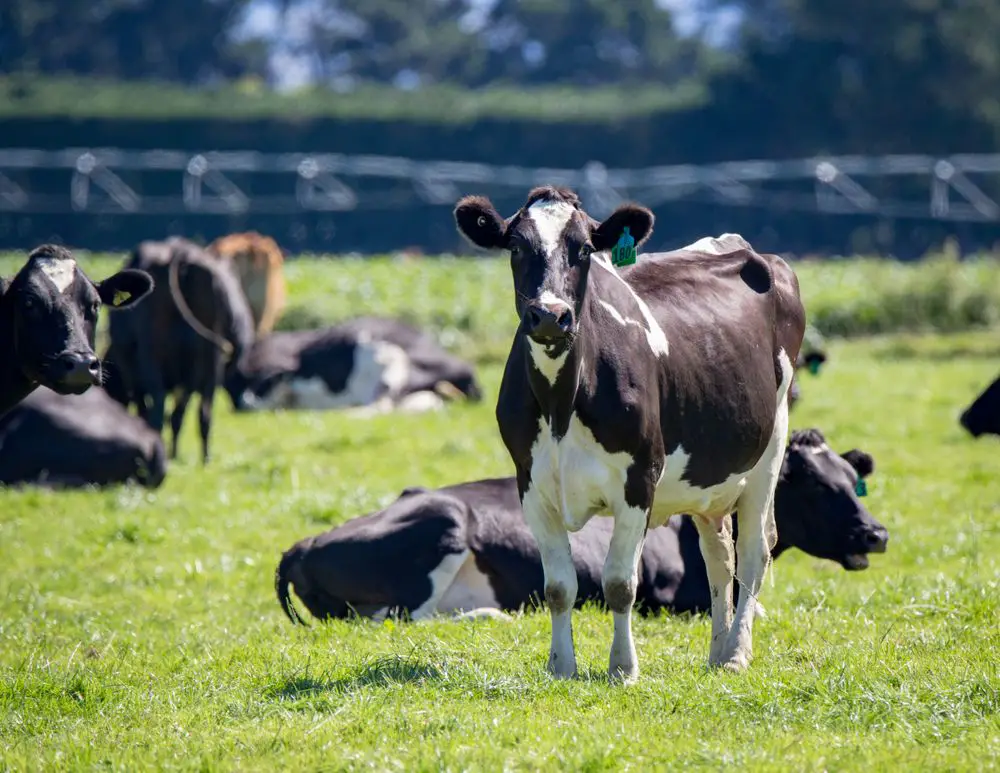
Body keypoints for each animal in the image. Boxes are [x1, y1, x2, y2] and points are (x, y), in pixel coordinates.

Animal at [276, 428, 892, 628]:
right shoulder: (669, 599)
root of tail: (300, 544)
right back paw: (492, 614)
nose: (877, 534)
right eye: (818, 487)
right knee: (402, 617)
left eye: (851, 480)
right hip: (443, 520)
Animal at [458, 188, 808, 680]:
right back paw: (718, 652)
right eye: (515, 248)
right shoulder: (530, 483)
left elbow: (621, 583)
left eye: (584, 249)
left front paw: (623, 668)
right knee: (718, 555)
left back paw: (737, 653)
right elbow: (558, 586)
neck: (561, 405)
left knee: (755, 551)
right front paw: (561, 665)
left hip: (770, 446)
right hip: (709, 476)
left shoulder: (639, 479)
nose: (549, 315)